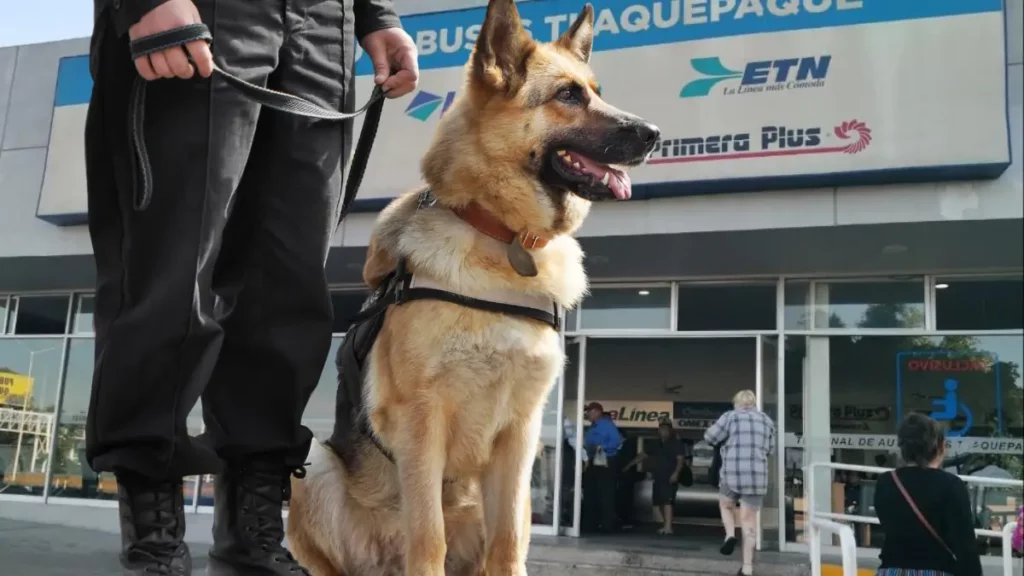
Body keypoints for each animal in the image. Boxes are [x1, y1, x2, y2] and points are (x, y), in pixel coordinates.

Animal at [284, 2, 659, 569]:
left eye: (595, 90)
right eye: (568, 95)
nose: (654, 132)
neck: (504, 237)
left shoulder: (521, 436)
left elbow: (508, 545)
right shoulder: (422, 422)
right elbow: (427, 537)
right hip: (311, 465)